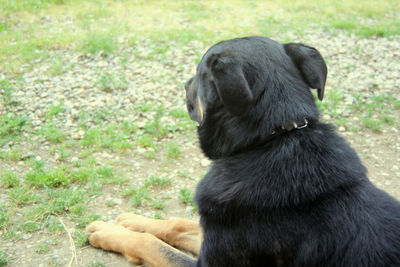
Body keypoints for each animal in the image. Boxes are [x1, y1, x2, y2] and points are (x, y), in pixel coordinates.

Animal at [86, 37, 400, 267]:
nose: (184, 84)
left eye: (198, 74)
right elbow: (178, 224)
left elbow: (153, 244)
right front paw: (134, 221)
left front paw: (109, 232)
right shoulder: (214, 231)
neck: (270, 139)